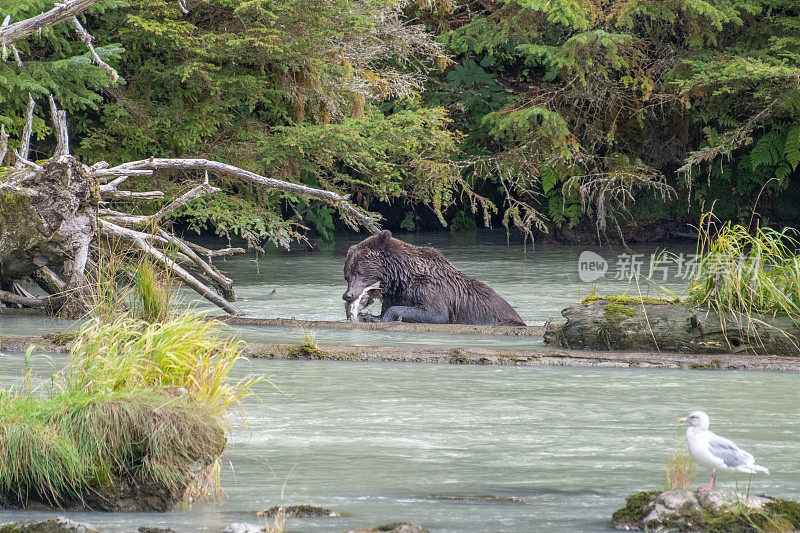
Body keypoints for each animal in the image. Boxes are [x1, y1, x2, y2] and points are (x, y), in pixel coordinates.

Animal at [342, 231, 524, 326]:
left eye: (359, 272)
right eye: (347, 275)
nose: (348, 295)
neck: (402, 277)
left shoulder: (430, 288)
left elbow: (436, 313)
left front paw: (372, 317)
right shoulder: (397, 294)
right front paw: (369, 313)